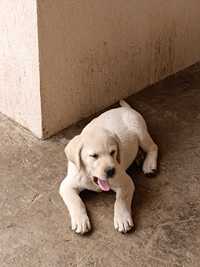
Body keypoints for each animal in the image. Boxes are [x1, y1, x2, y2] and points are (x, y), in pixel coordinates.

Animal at [59, 100, 158, 234]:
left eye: (113, 152)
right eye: (94, 156)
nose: (111, 171)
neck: (90, 178)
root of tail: (127, 109)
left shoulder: (126, 182)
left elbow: (121, 200)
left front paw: (122, 219)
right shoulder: (67, 185)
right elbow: (76, 201)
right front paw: (81, 221)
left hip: (140, 131)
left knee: (153, 146)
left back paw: (149, 164)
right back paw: (139, 156)